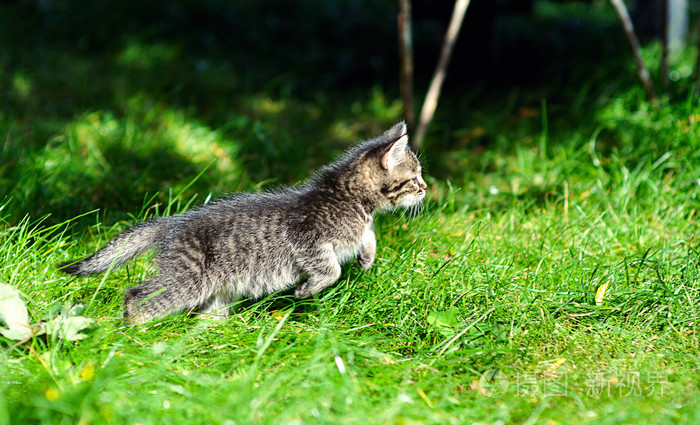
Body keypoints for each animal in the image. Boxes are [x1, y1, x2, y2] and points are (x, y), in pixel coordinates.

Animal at [61, 121, 426, 322]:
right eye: (414, 177)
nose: (425, 188)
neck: (351, 201)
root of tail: (171, 221)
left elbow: (368, 237)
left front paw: (367, 257)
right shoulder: (307, 240)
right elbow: (330, 269)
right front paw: (307, 289)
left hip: (214, 291)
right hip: (186, 279)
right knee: (138, 296)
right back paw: (134, 333)